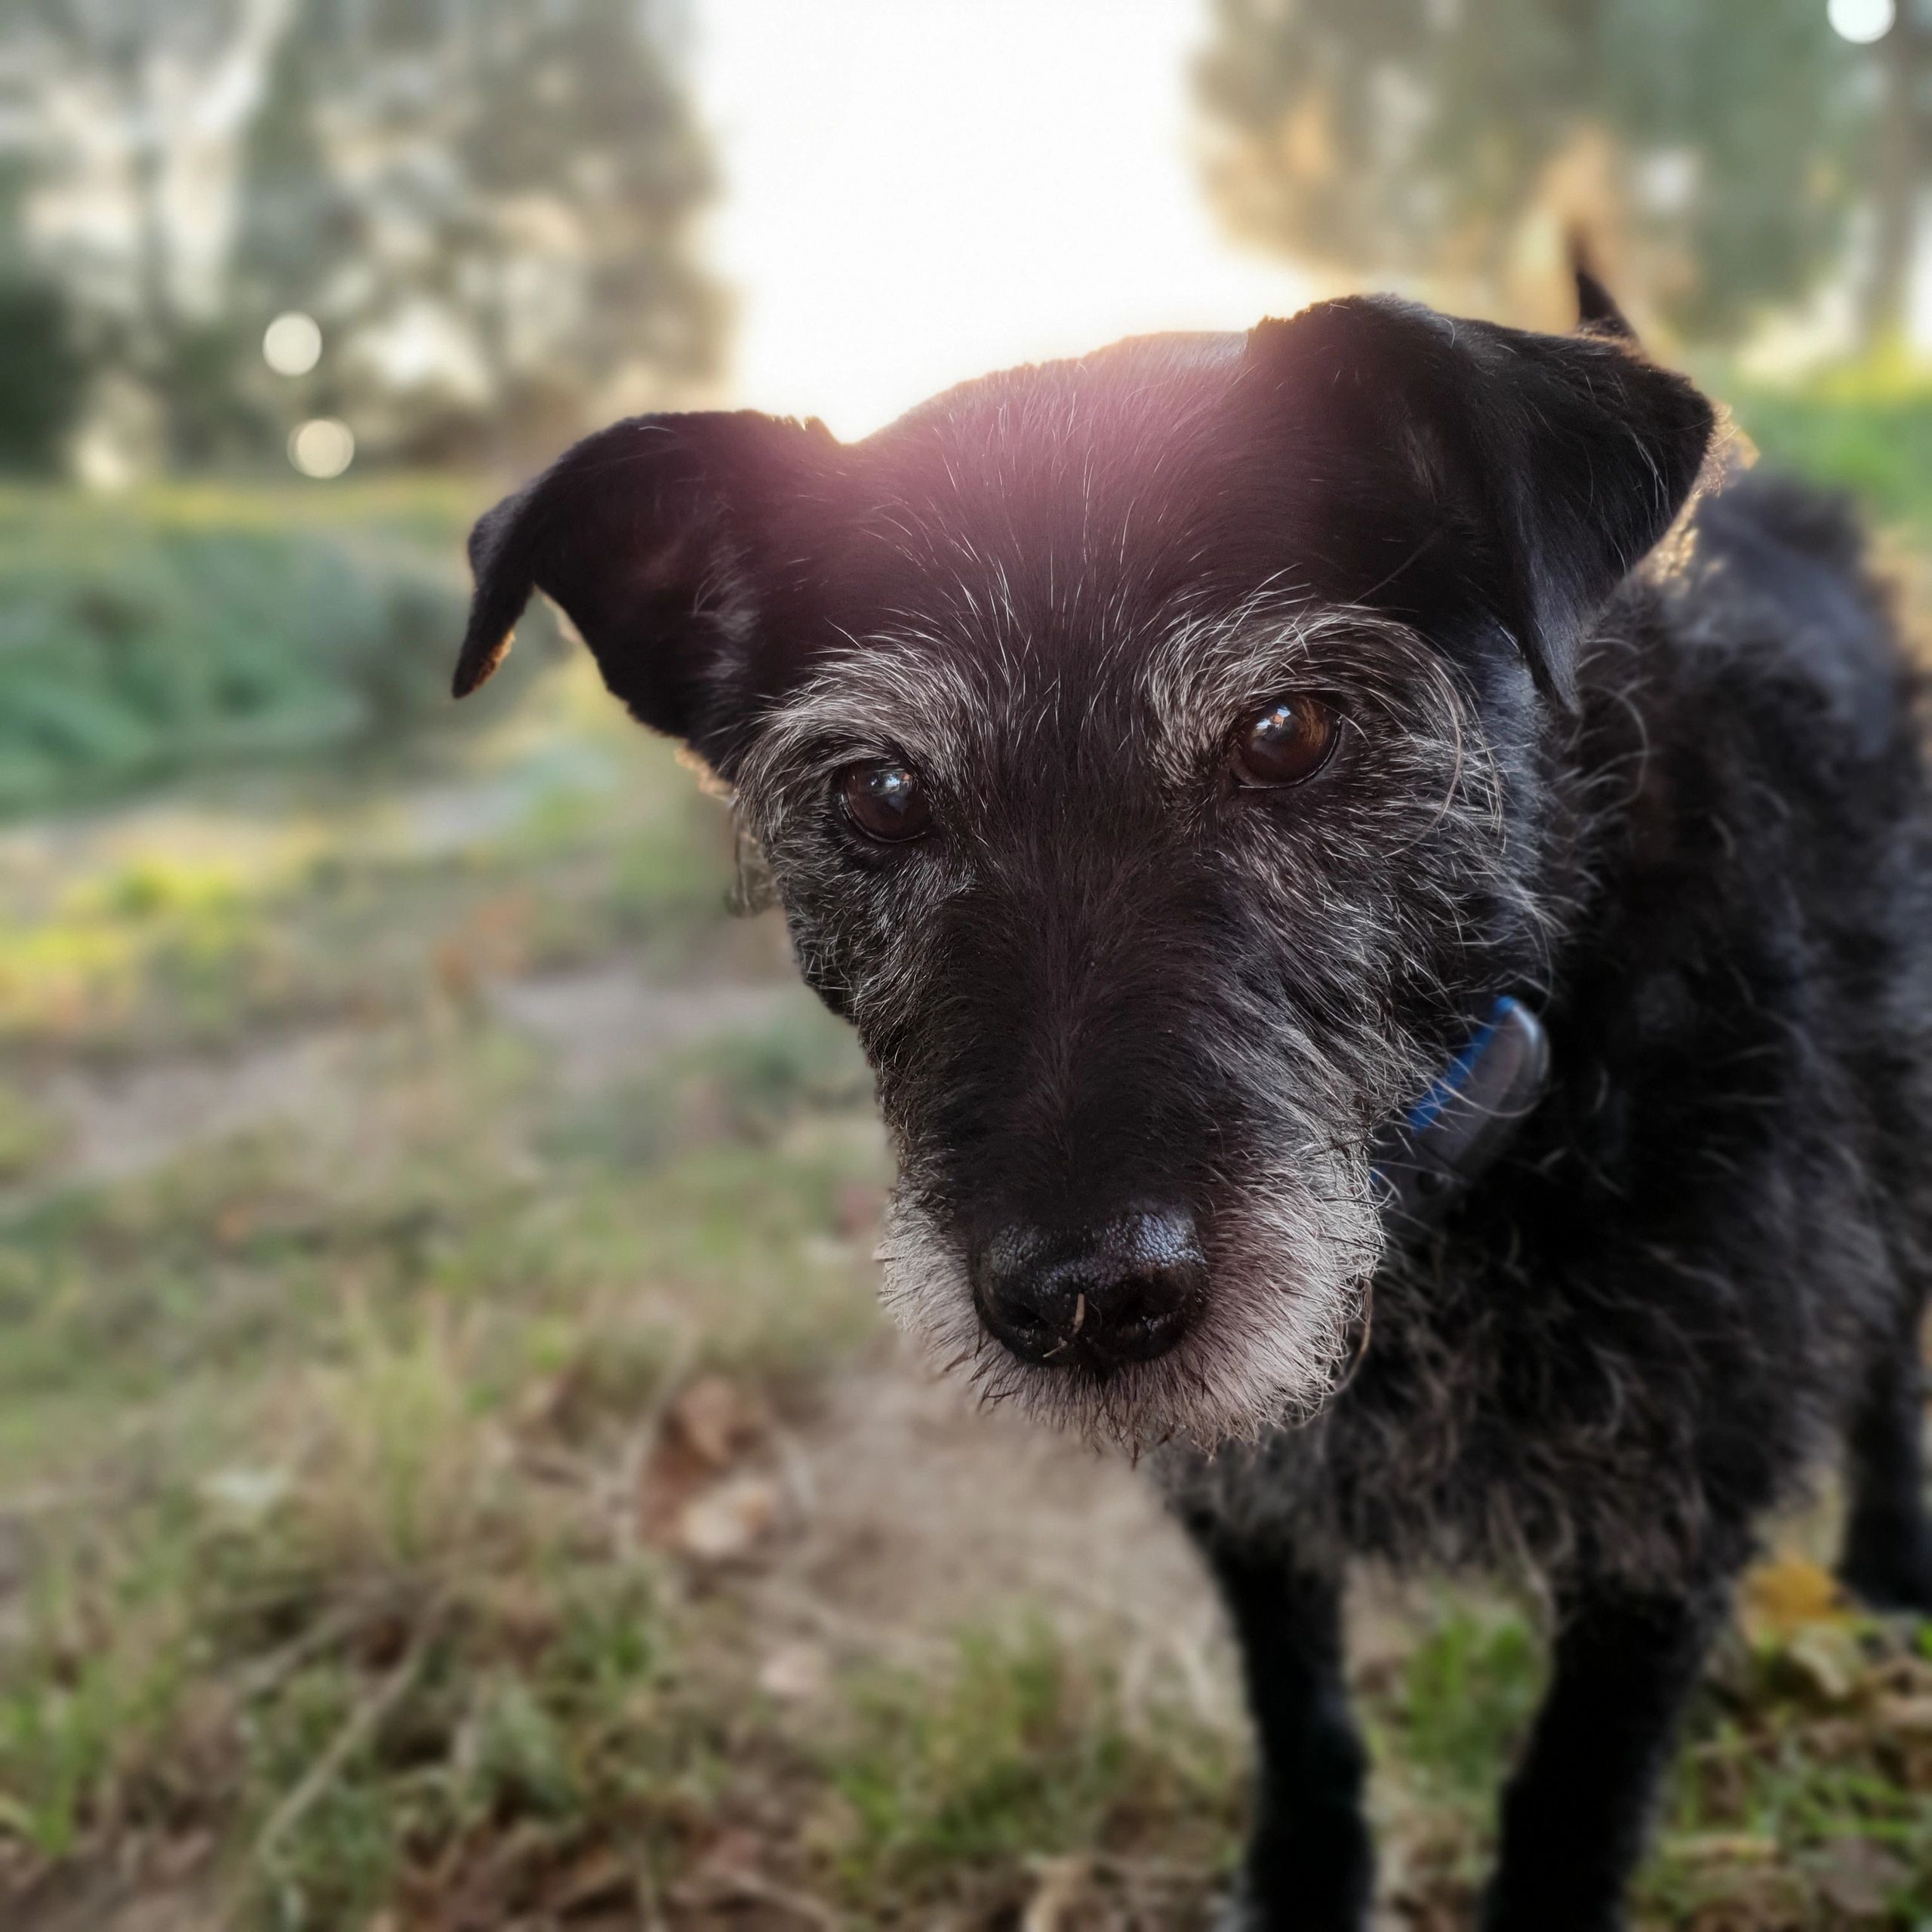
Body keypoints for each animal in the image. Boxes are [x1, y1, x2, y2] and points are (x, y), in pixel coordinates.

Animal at [456, 285, 1932, 1932]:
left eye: (1287, 730)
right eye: (879, 792)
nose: (1087, 1300)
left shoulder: (1668, 1525)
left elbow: (1568, 1805)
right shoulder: (1243, 1492)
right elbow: (1299, 1712)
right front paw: (1301, 1881)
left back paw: (1886, 1571)